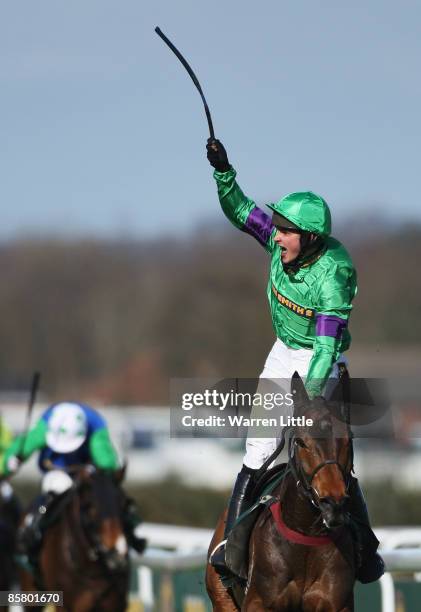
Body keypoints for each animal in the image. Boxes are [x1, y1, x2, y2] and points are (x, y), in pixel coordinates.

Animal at [206, 372, 354, 612]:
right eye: (301, 442)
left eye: (349, 440)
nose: (333, 503)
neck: (306, 535)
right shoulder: (260, 603)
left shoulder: (336, 604)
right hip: (221, 597)